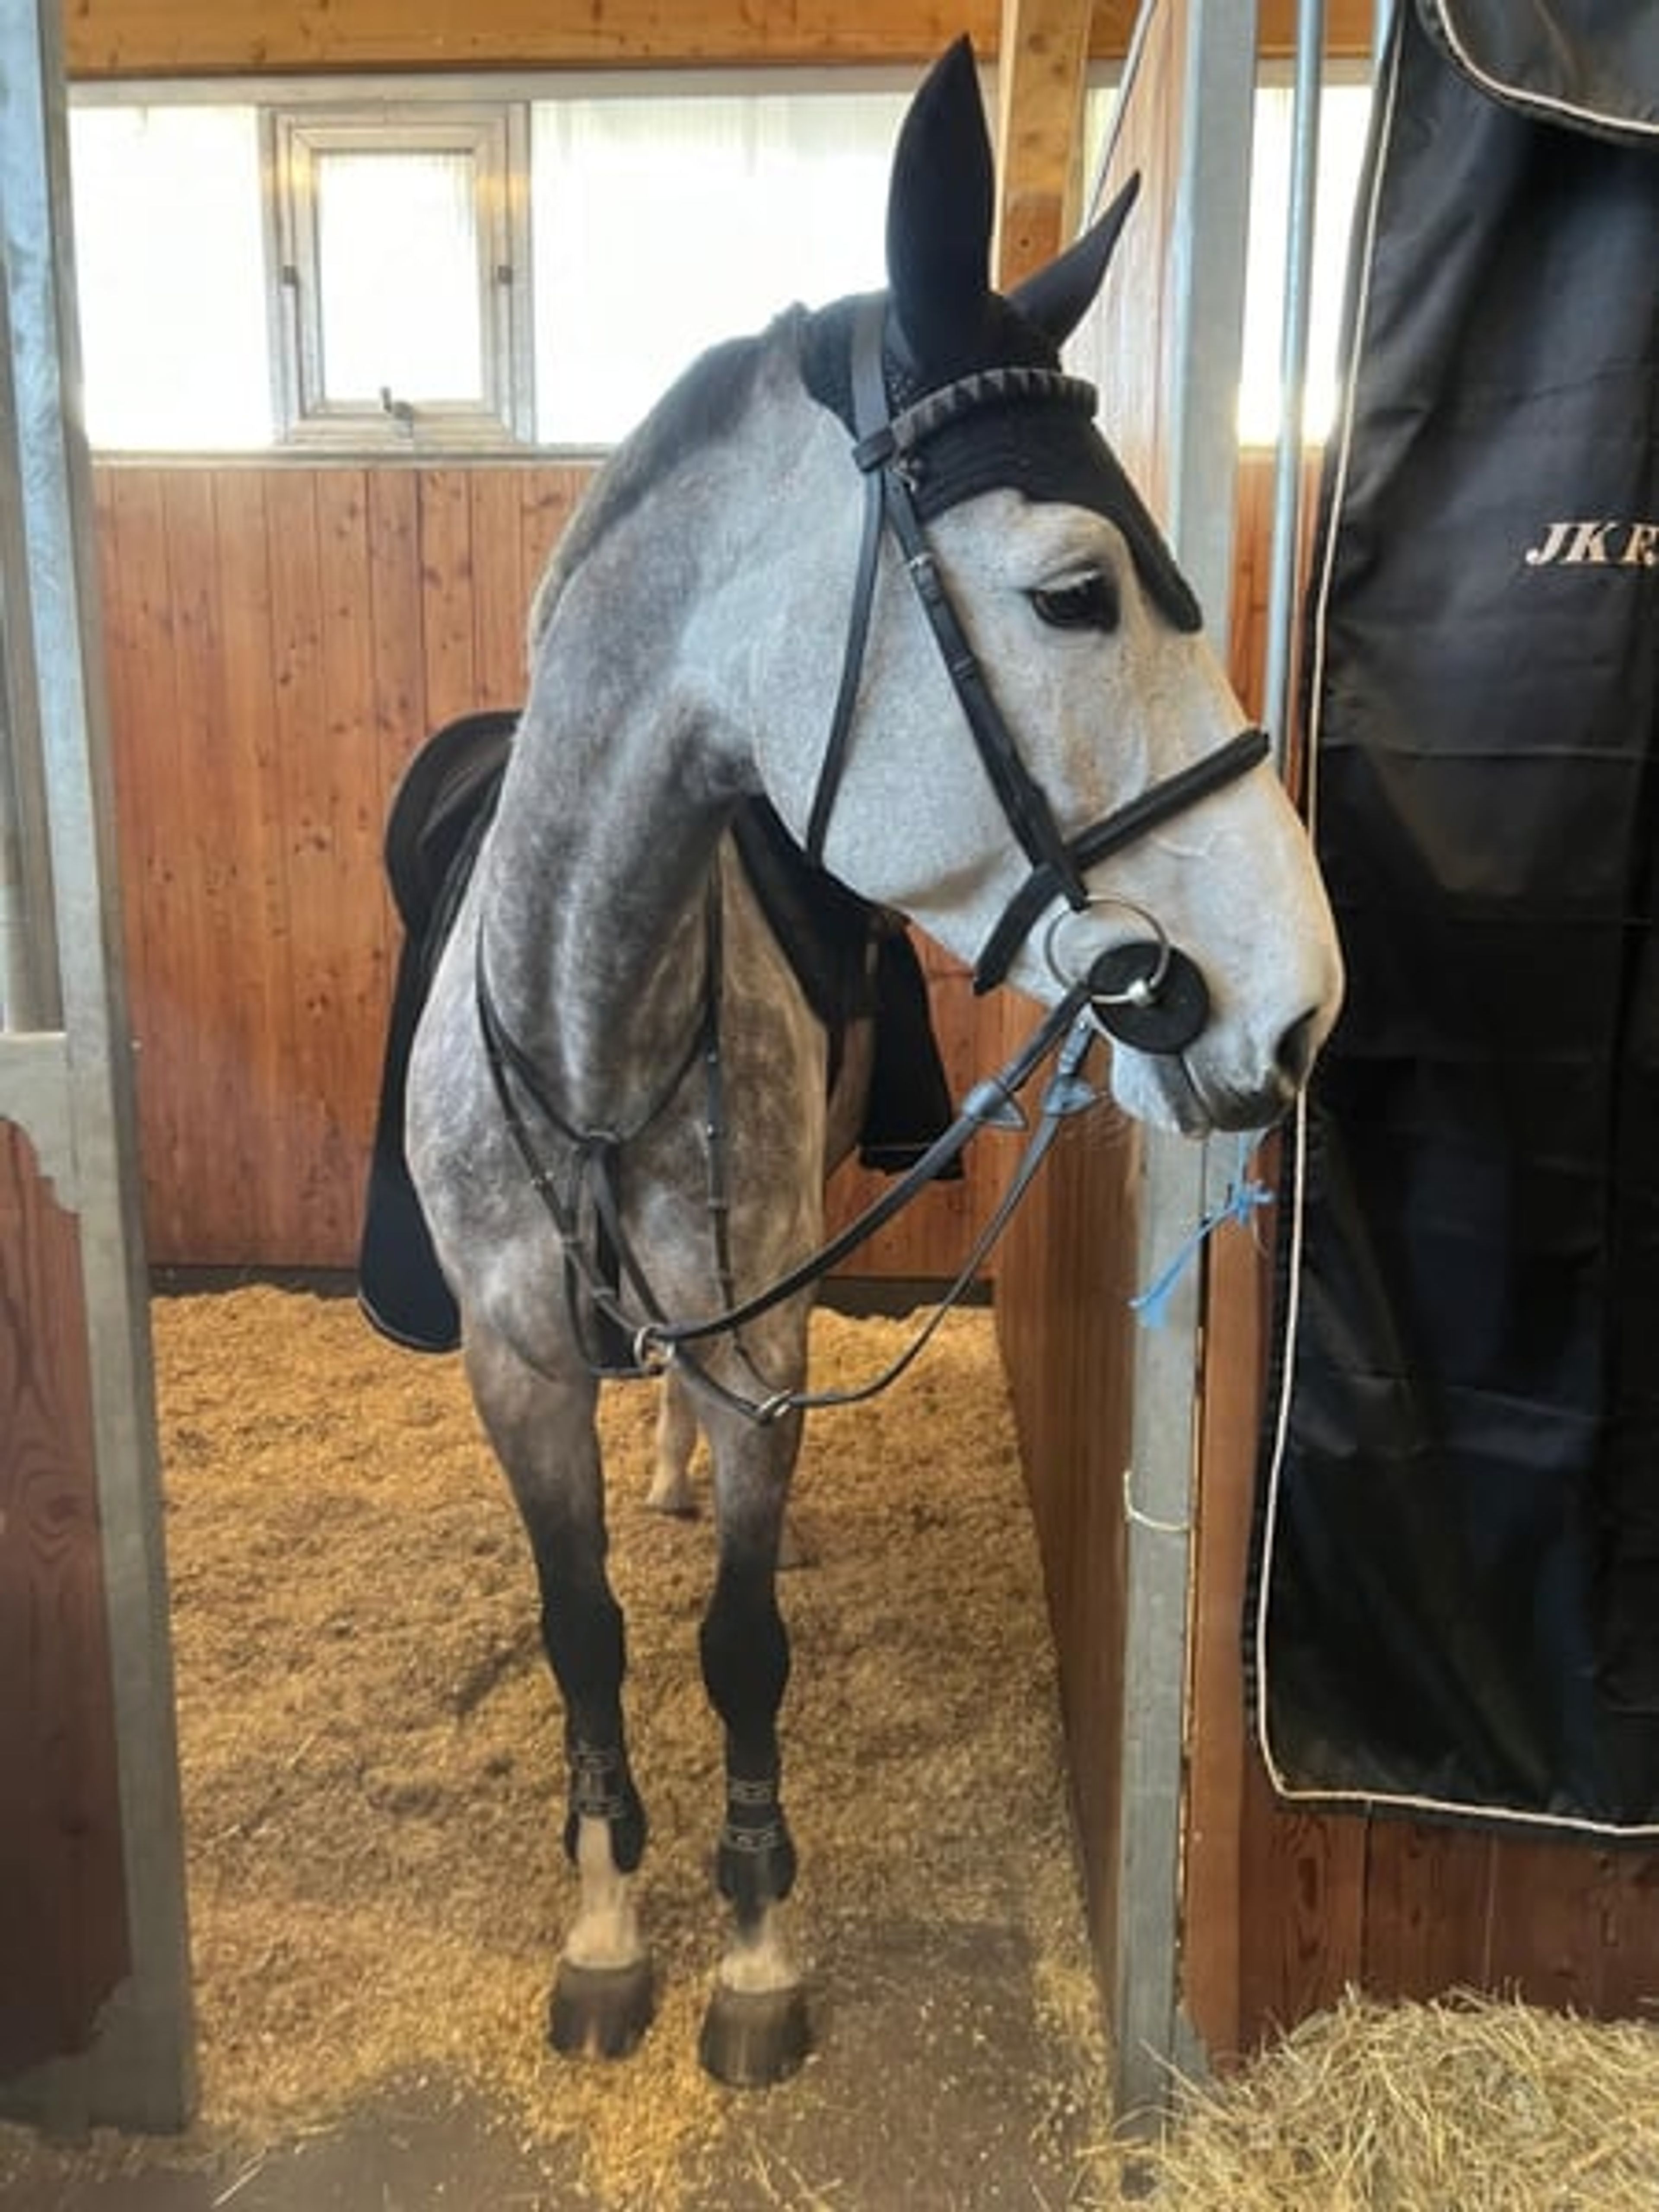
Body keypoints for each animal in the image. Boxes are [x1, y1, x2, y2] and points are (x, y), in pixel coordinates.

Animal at [404, 37, 1343, 2089]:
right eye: (1075, 591)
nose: (1298, 998)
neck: (588, 1020)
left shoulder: (763, 1331)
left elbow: (736, 1646)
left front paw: (755, 1950)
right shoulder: (513, 1361)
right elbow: (586, 1630)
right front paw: (605, 1927)